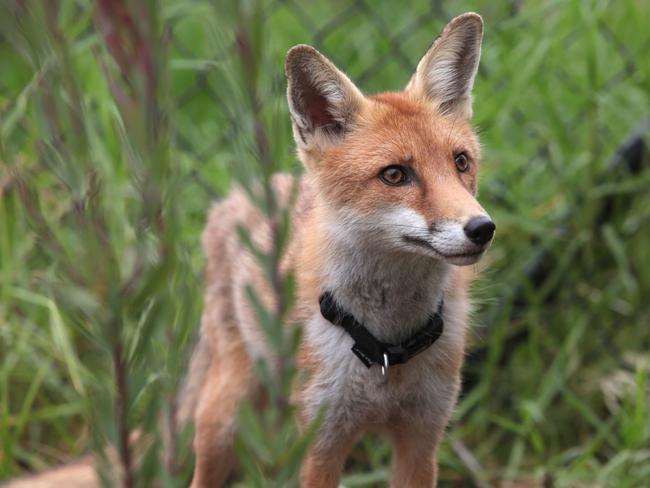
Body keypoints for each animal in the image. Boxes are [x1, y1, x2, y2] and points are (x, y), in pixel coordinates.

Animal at [184, 10, 496, 488]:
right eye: (394, 175)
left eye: (461, 162)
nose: (482, 228)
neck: (387, 348)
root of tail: (238, 196)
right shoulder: (320, 442)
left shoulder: (422, 439)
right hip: (225, 419)